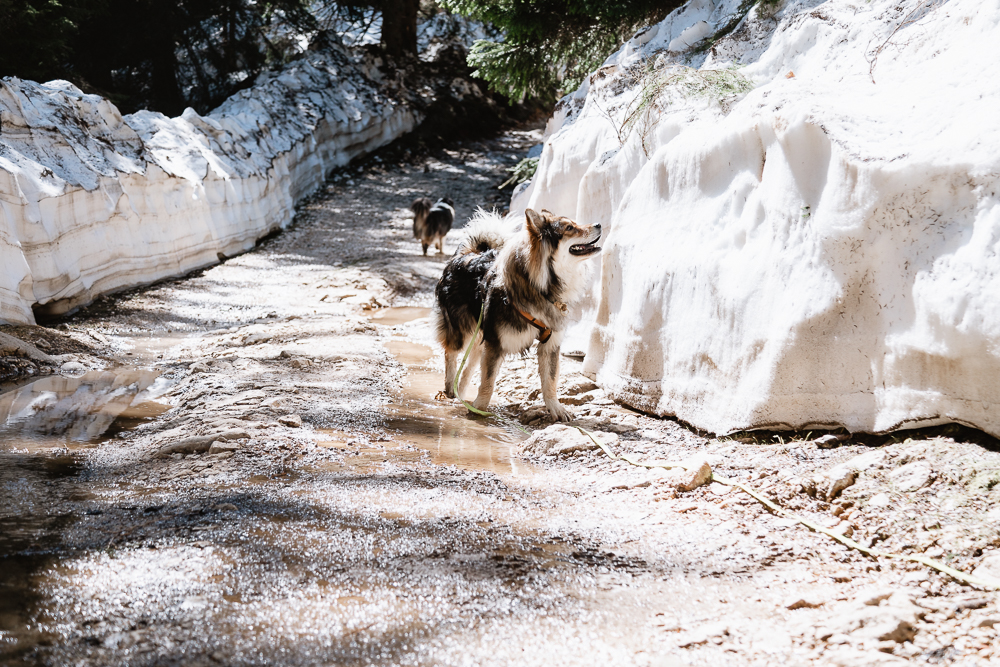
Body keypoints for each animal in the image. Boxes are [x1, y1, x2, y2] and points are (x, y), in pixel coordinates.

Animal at [432, 207, 600, 422]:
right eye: (569, 228)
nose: (598, 224)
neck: (541, 288)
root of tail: (467, 253)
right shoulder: (496, 343)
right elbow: (488, 381)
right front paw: (479, 410)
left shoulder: (550, 345)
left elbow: (550, 381)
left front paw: (556, 409)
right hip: (461, 329)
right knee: (451, 354)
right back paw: (449, 388)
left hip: (481, 333)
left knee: (468, 365)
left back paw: (459, 393)